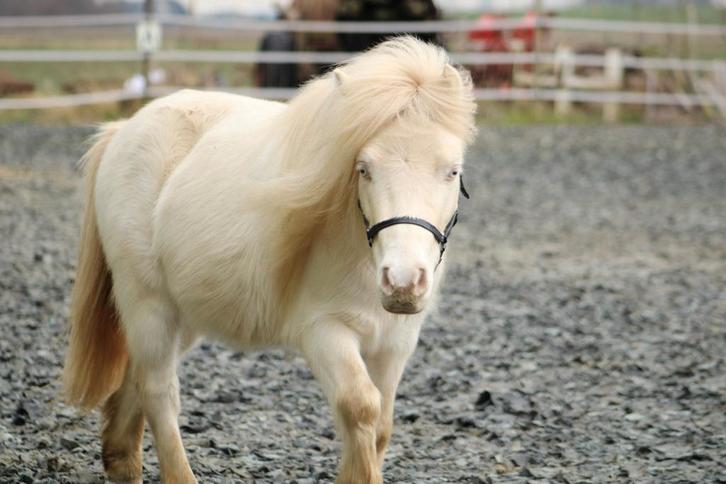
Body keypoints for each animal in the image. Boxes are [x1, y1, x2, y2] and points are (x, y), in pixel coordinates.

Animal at [63, 37, 476, 483]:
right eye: (364, 169)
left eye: (453, 171)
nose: (402, 282)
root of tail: (124, 129)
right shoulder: (324, 332)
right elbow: (360, 407)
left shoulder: (395, 343)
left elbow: (381, 423)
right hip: (148, 304)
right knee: (159, 393)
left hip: (183, 317)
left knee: (136, 385)